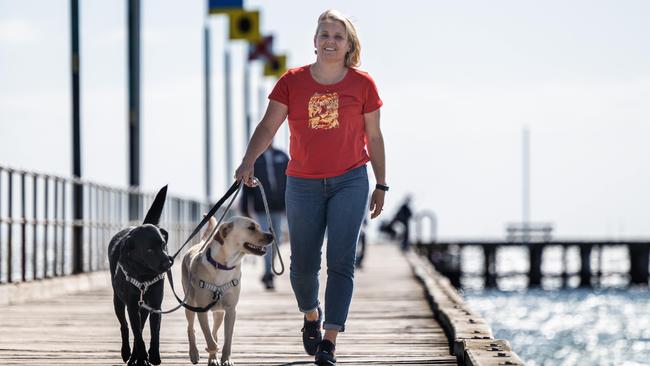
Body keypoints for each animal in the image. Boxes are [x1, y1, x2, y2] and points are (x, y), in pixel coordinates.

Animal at [109, 186, 175, 366]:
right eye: (149, 250)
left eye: (163, 244)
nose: (168, 264)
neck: (145, 276)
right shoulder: (132, 306)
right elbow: (137, 335)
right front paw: (142, 356)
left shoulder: (155, 305)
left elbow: (154, 332)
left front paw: (153, 356)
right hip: (118, 301)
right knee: (125, 326)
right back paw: (128, 353)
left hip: (143, 307)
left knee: (140, 325)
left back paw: (135, 357)